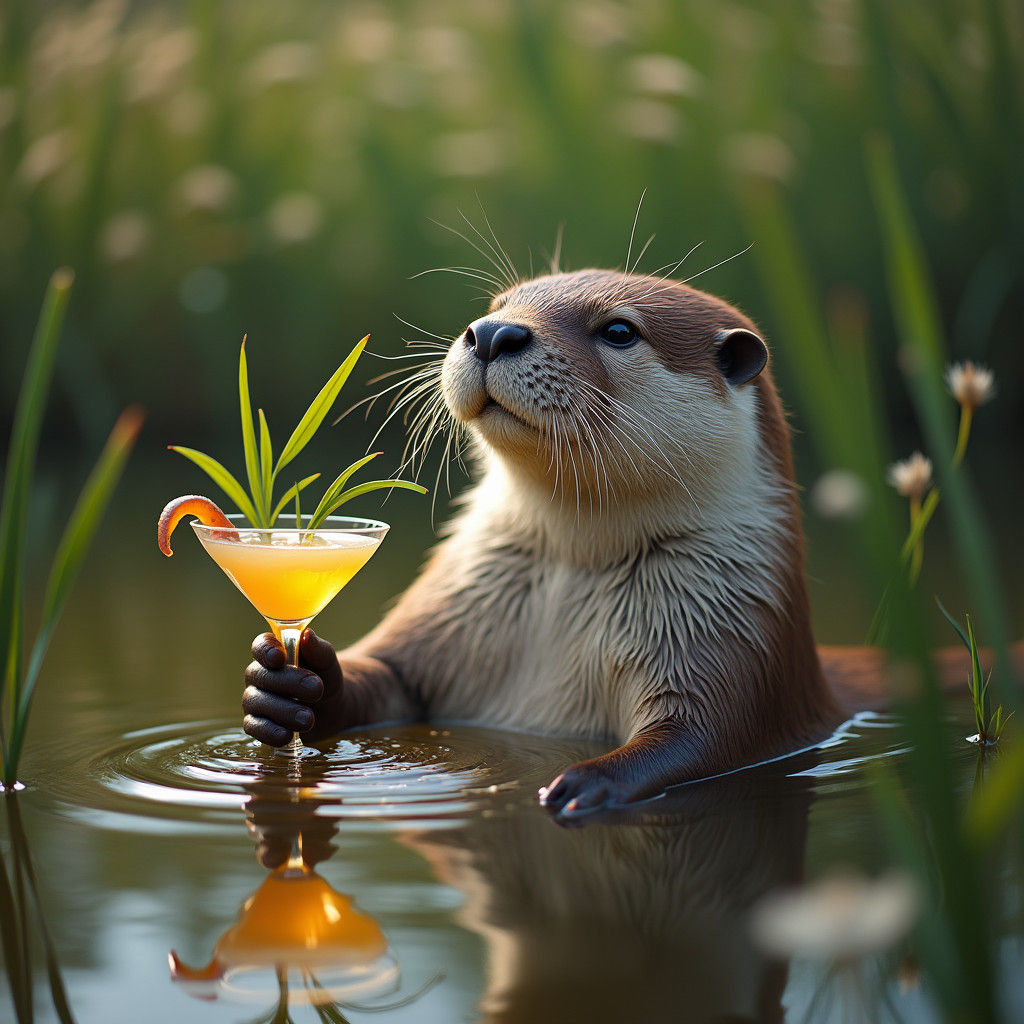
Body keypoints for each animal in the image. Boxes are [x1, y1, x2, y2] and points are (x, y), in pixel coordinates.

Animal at [236, 269, 933, 815]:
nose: (492, 332)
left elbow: (706, 735)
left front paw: (584, 783)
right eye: (499, 304)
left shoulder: (737, 639)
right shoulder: (448, 611)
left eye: (619, 331)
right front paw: (286, 685)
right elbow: (387, 674)